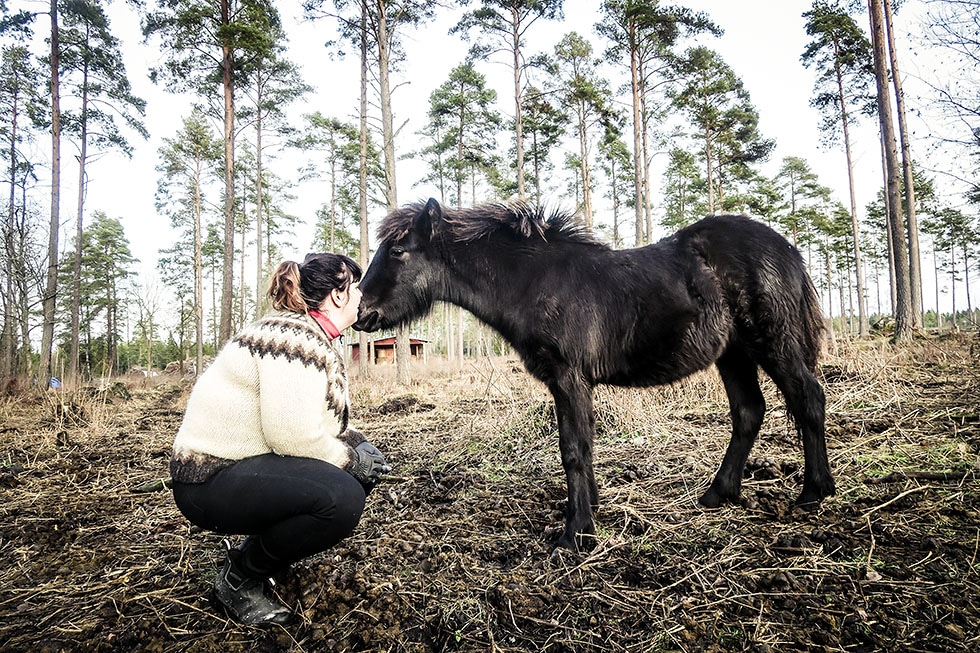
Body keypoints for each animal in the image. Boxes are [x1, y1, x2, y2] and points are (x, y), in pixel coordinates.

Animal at [354, 196, 836, 548]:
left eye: (397, 251)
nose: (361, 314)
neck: (534, 282)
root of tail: (788, 250)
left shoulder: (569, 377)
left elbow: (573, 448)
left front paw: (575, 533)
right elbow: (582, 447)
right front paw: (588, 512)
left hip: (773, 343)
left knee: (808, 398)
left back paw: (814, 492)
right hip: (733, 353)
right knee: (749, 412)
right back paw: (718, 494)